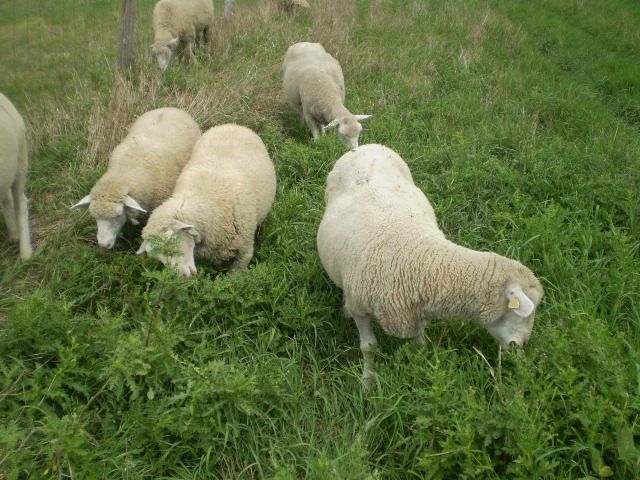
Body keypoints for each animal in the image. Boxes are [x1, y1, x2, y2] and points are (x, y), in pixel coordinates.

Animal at [137, 124, 276, 277]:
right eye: (160, 260)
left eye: (173, 242)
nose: (183, 277)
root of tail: (232, 125)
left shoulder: (244, 252)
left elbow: (234, 277)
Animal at [316, 144, 544, 386]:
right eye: (523, 313)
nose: (521, 346)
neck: (422, 262)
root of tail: (363, 147)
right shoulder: (361, 308)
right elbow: (369, 348)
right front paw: (367, 383)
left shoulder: (416, 313)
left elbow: (419, 346)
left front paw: (418, 373)